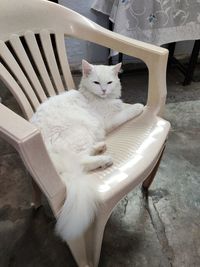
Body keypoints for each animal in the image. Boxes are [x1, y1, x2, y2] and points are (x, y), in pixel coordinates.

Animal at [30, 59, 144, 242]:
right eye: (96, 83)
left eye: (109, 83)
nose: (104, 90)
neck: (95, 98)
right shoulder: (109, 121)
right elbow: (127, 112)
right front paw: (139, 106)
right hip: (80, 131)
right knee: (81, 160)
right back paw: (104, 160)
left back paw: (99, 147)